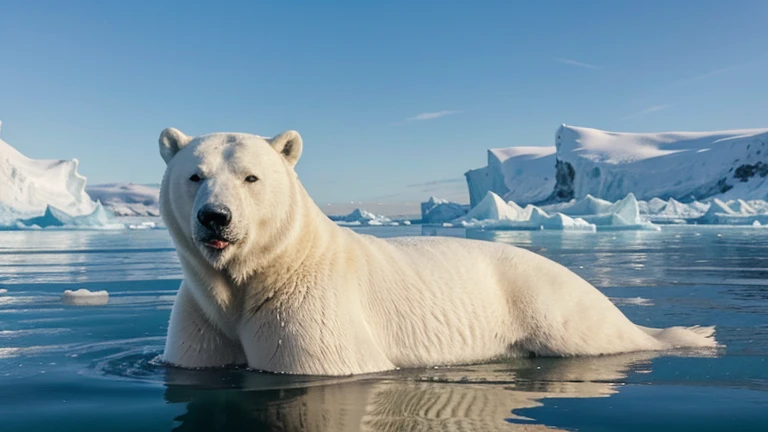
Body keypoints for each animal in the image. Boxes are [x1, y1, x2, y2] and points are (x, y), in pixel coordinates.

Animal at [159, 127, 716, 374]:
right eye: (195, 175)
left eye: (251, 177)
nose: (216, 218)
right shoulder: (202, 318)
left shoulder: (311, 312)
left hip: (546, 302)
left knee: (598, 335)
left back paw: (686, 335)